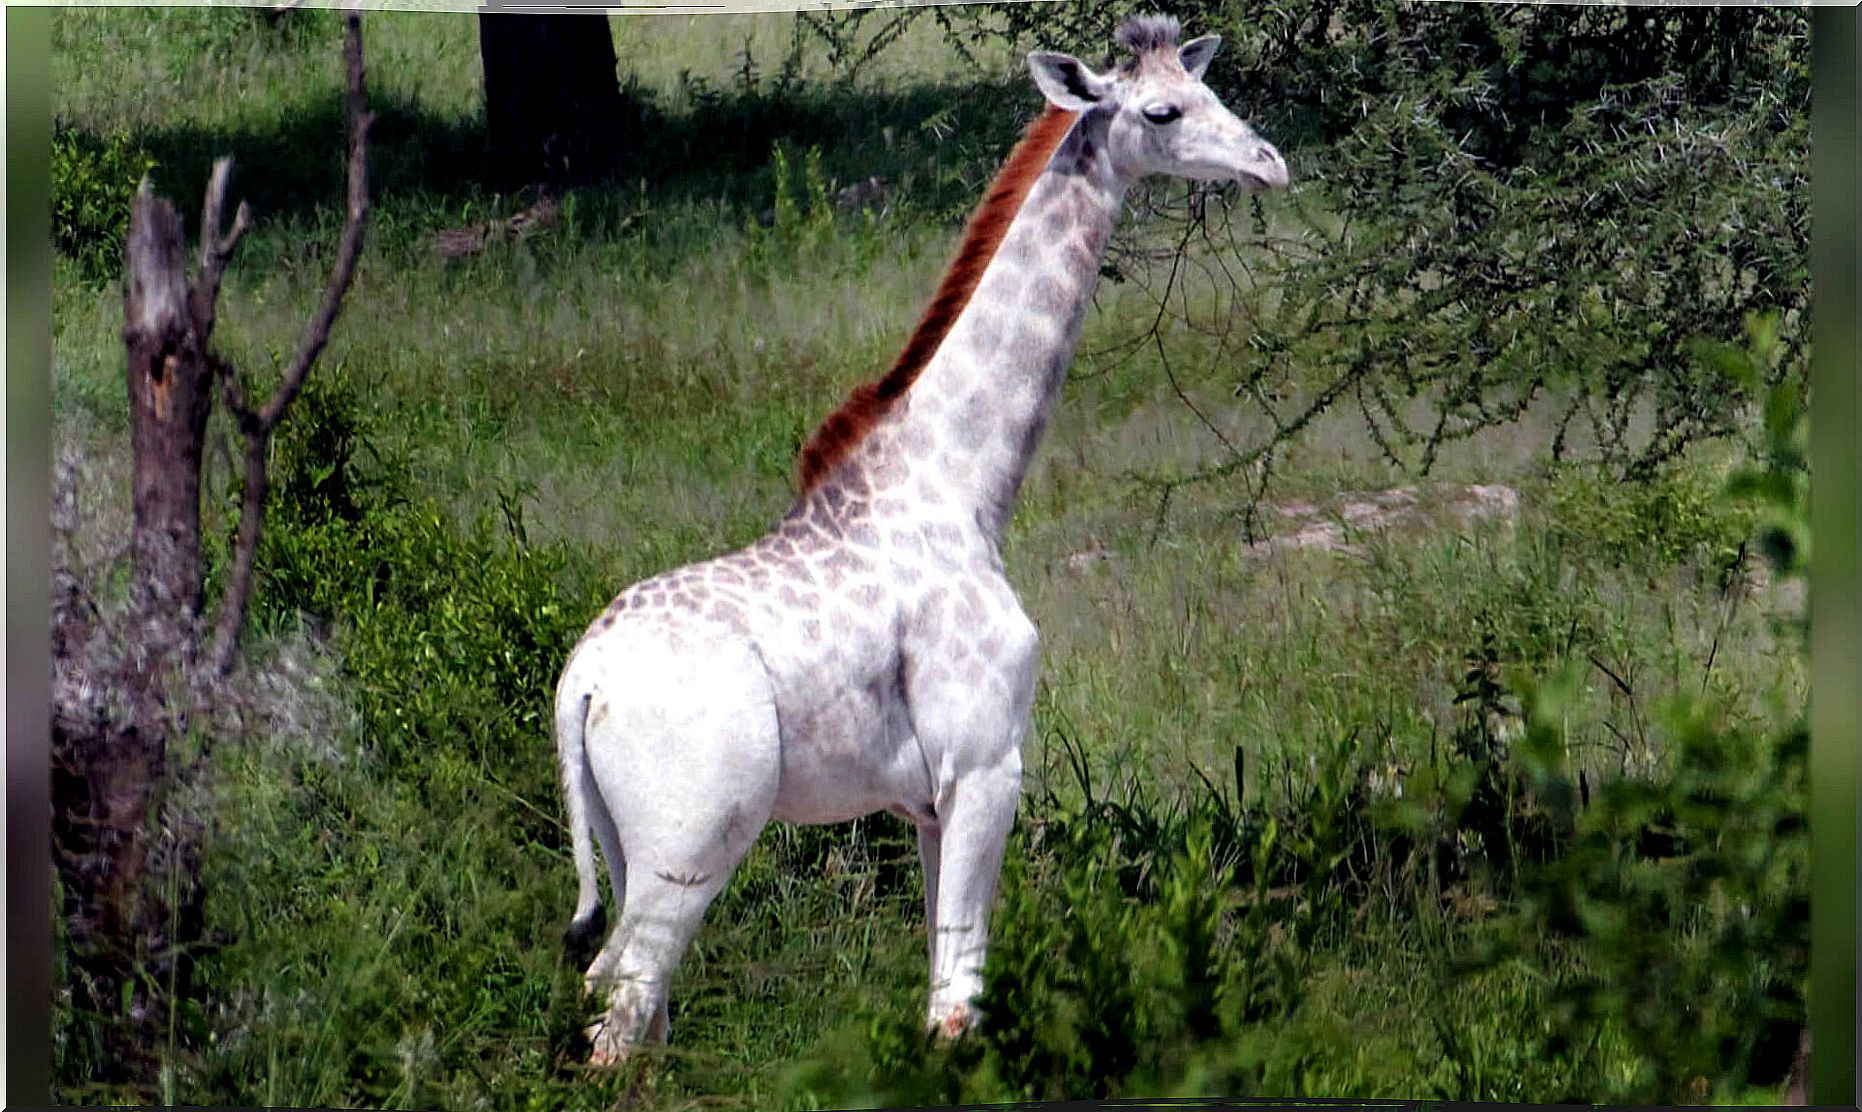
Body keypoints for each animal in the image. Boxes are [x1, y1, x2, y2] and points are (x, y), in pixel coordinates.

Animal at [551, 13, 1281, 1065]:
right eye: (1161, 111)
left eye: (1208, 88)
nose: (1270, 164)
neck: (962, 488)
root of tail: (581, 682)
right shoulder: (986, 764)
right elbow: (958, 1001)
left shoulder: (925, 799)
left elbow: (940, 985)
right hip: (693, 841)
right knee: (623, 1000)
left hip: (620, 841)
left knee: (626, 1007)